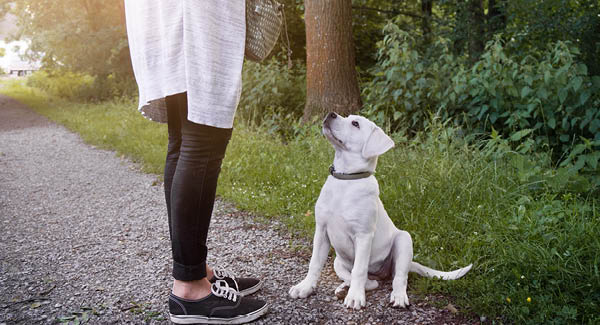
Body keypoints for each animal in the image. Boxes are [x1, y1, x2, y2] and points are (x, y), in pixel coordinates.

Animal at [288, 112, 472, 308]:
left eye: (355, 124)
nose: (331, 114)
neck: (346, 180)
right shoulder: (322, 231)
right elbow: (315, 263)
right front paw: (305, 287)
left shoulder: (363, 235)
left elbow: (359, 269)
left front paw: (355, 297)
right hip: (339, 261)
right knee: (360, 278)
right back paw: (346, 287)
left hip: (404, 240)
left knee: (398, 277)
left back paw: (397, 296)